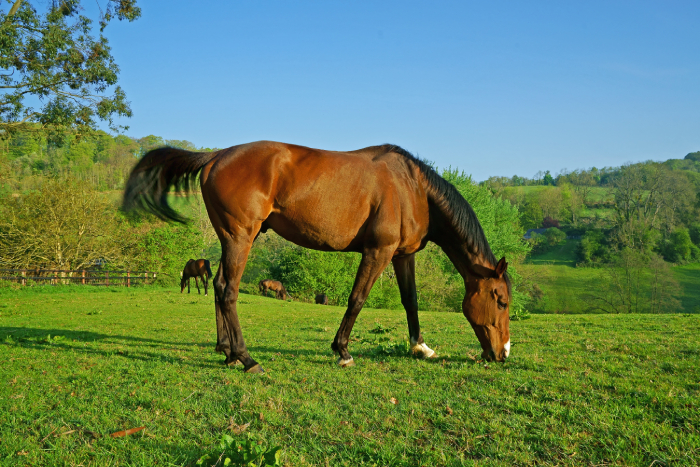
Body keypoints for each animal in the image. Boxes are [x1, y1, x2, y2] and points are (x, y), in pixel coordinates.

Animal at [123, 141, 512, 373]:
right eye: (501, 300)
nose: (503, 353)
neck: (412, 188)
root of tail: (216, 155)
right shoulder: (378, 251)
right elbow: (357, 299)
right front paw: (343, 350)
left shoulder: (402, 255)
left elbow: (410, 301)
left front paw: (420, 346)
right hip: (240, 238)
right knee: (229, 291)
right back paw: (247, 358)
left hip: (232, 239)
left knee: (219, 286)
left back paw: (227, 351)